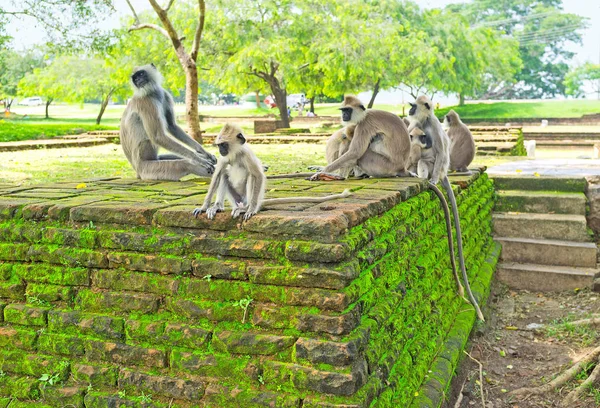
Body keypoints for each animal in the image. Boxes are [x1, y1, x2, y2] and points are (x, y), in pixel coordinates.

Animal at [192, 122, 352, 222]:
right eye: (219, 146)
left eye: (224, 145)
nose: (221, 150)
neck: (235, 154)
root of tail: (240, 203)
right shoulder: (224, 158)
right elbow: (217, 176)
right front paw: (203, 207)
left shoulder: (246, 155)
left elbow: (258, 175)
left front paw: (251, 210)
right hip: (235, 199)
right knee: (224, 174)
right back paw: (217, 207)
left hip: (245, 198)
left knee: (251, 177)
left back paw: (246, 208)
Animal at [406, 95, 486, 322]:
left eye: (413, 106)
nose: (410, 110)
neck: (424, 122)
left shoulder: (433, 127)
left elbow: (441, 150)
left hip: (438, 167)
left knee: (428, 160)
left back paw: (427, 178)